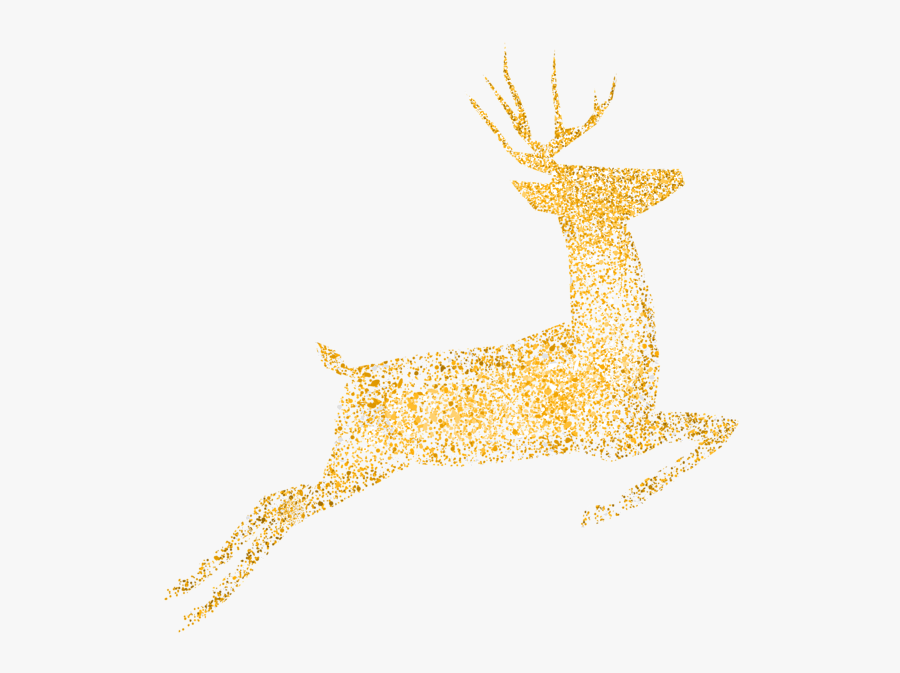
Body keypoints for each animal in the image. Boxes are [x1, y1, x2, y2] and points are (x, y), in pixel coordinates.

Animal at [166, 51, 738, 630]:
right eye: (600, 176)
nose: (676, 170)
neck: (611, 348)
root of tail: (346, 374)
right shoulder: (608, 435)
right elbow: (716, 429)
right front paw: (598, 511)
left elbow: (719, 425)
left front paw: (598, 510)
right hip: (361, 461)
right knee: (280, 508)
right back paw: (199, 606)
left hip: (356, 464)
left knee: (272, 497)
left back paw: (181, 591)